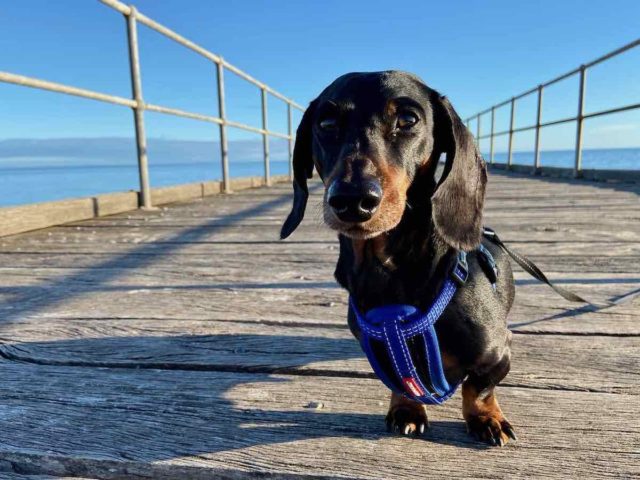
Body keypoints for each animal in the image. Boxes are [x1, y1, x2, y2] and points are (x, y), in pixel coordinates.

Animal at [280, 71, 516, 446]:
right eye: (327, 123)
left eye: (408, 120)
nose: (352, 199)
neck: (389, 271)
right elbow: (399, 383)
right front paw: (406, 409)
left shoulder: (497, 353)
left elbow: (478, 388)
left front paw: (485, 418)